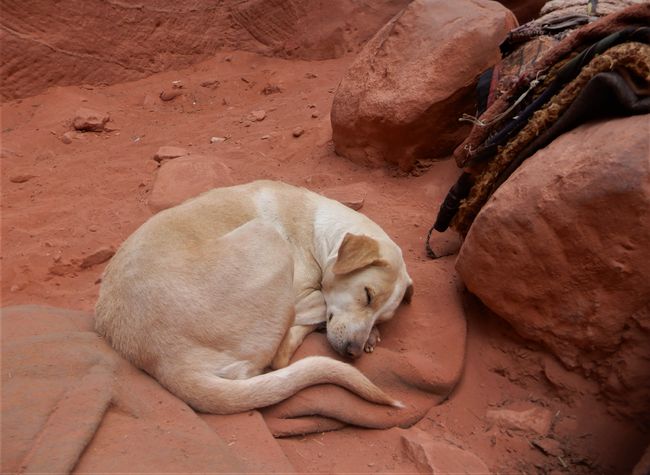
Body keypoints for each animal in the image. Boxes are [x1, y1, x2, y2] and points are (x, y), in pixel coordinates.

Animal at [93, 180, 410, 414]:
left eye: (383, 316)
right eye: (367, 295)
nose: (353, 352)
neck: (318, 229)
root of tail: (166, 361)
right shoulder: (302, 293)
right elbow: (319, 303)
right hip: (266, 235)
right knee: (278, 357)